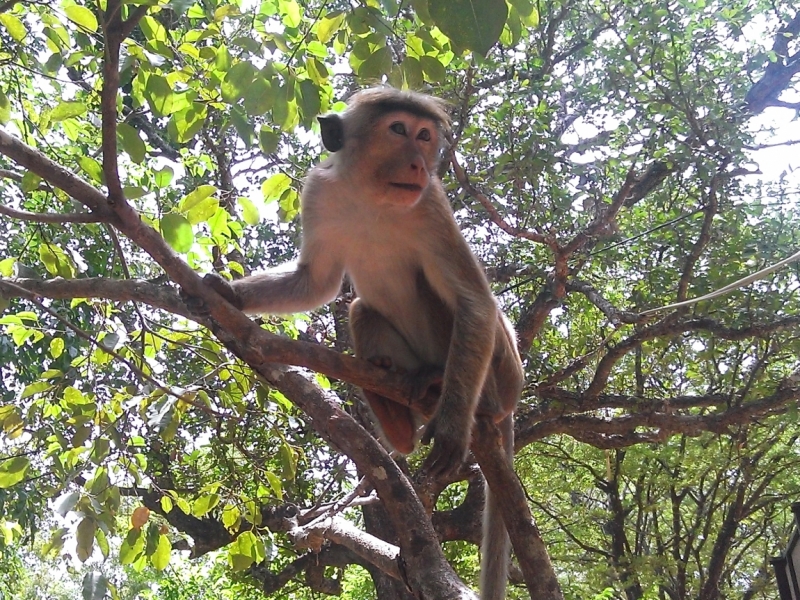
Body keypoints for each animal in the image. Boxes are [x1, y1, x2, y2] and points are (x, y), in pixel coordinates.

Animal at [190, 88, 520, 600]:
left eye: (425, 136)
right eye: (399, 130)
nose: (419, 163)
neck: (372, 196)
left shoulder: (432, 203)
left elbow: (475, 302)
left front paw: (451, 429)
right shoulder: (318, 193)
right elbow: (316, 283)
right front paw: (227, 294)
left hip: (499, 370)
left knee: (446, 297)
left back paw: (455, 397)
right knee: (362, 309)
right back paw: (396, 406)